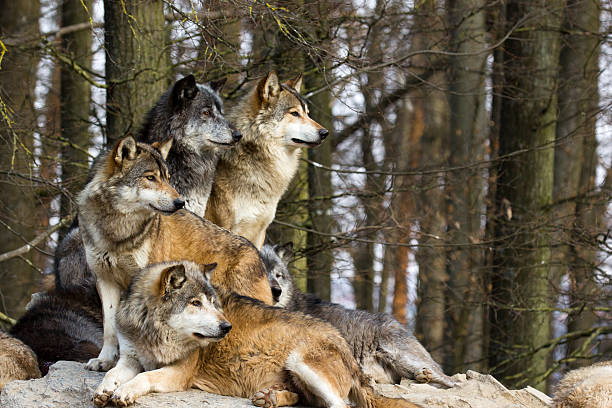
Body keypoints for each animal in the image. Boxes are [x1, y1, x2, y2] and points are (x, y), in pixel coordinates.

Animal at [77, 135, 272, 372]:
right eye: (150, 178)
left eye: (168, 178)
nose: (180, 202)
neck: (118, 231)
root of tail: (256, 252)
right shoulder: (105, 280)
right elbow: (109, 328)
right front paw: (104, 360)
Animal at [94, 262, 420, 408]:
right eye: (195, 303)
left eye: (213, 302)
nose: (226, 328)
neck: (153, 332)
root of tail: (346, 347)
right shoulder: (130, 357)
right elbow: (112, 374)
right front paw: (104, 390)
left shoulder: (179, 373)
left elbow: (144, 377)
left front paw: (123, 393)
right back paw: (270, 397)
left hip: (301, 361)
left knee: (340, 406)